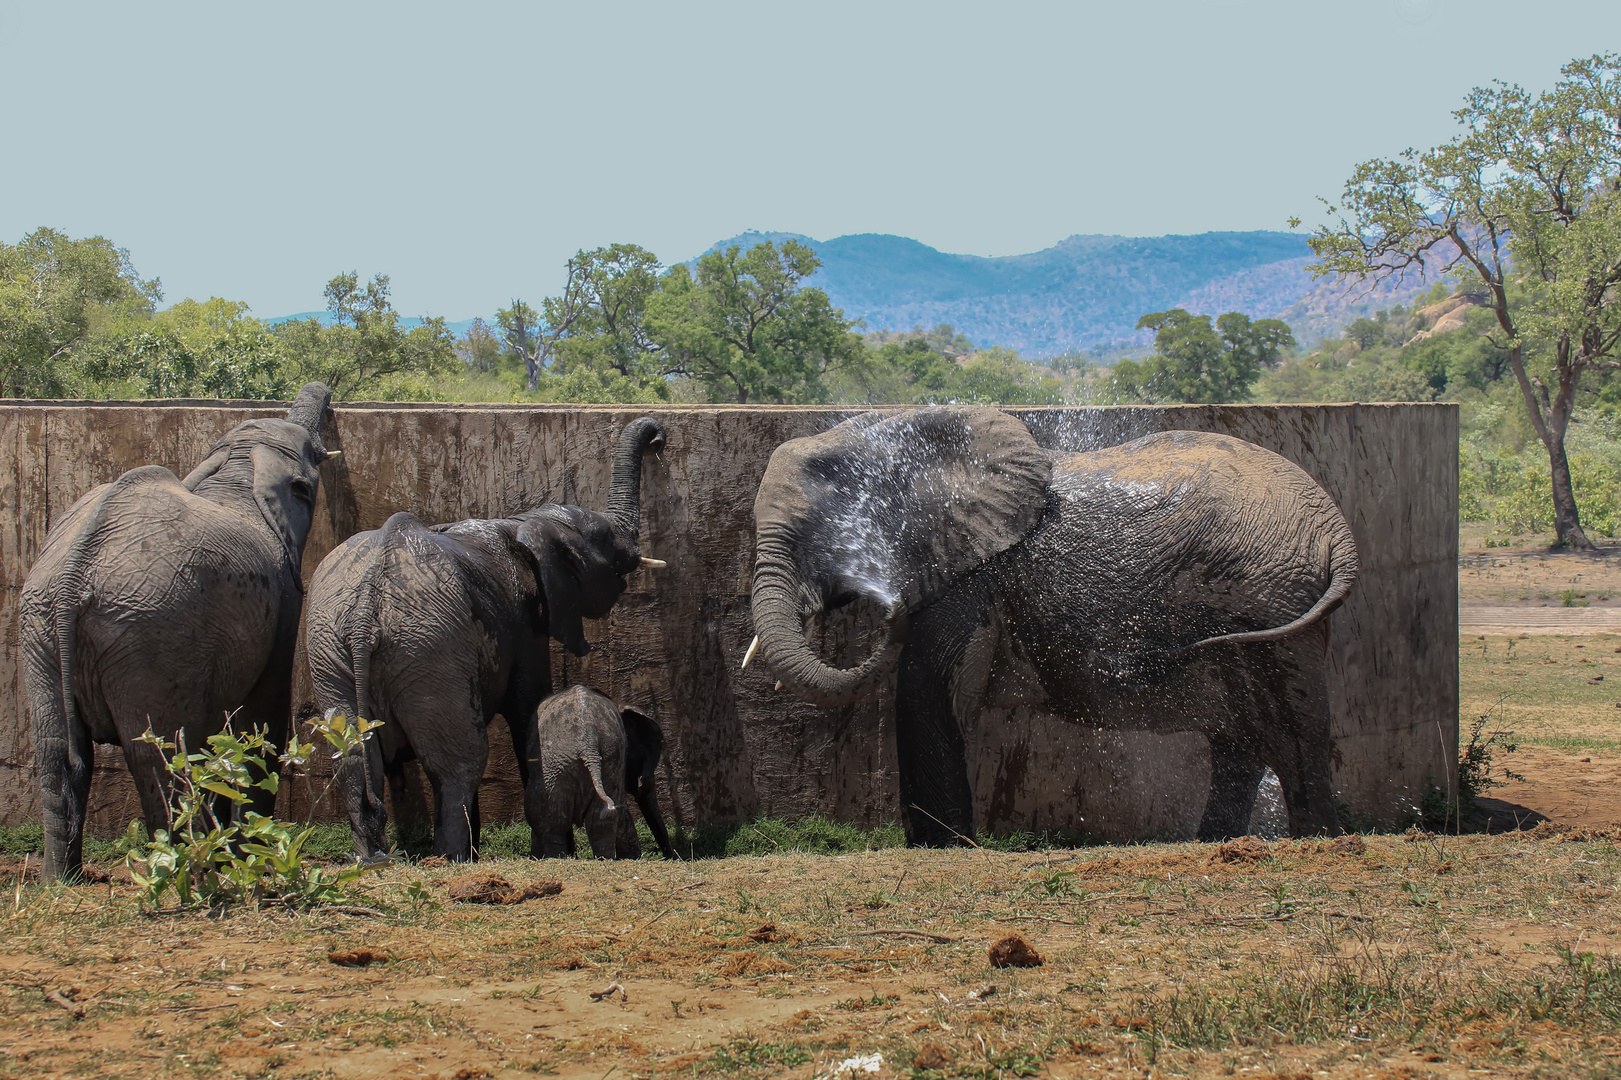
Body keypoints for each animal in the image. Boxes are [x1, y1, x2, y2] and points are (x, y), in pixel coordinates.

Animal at [19, 382, 335, 882]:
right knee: (160, 758)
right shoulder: (283, 599)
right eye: (311, 472)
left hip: (41, 630)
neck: (236, 471)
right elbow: (260, 720)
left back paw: (60, 882)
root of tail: (73, 574)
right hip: (150, 634)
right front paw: (252, 855)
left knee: (56, 753)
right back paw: (189, 872)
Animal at [752, 403, 1361, 843]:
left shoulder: (973, 572)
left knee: (1292, 728)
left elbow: (928, 688)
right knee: (1242, 739)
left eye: (821, 535)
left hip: (1271, 596)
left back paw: (1316, 842)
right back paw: (1219, 843)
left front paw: (942, 848)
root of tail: (1335, 526)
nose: (885, 608)